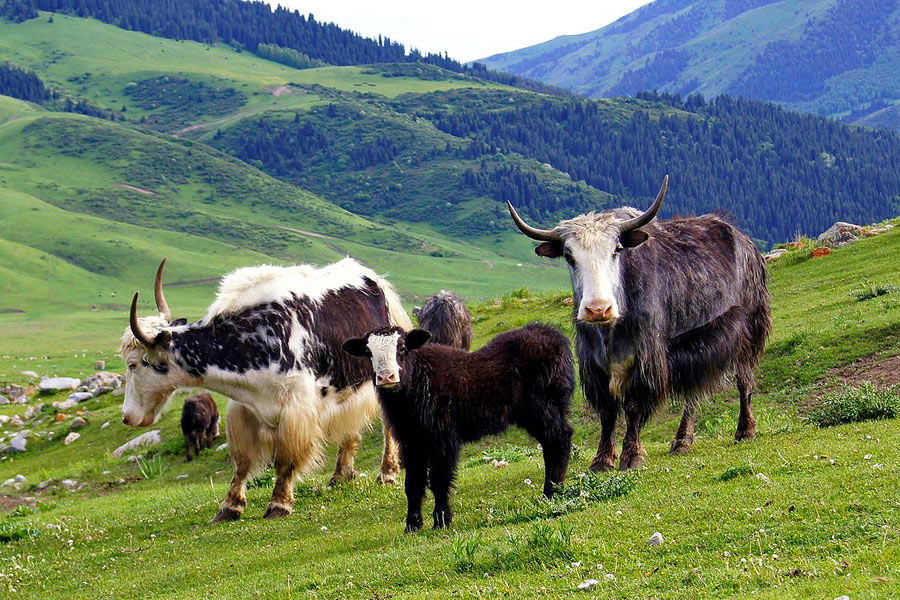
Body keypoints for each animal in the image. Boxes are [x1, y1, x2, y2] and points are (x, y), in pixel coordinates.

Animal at [342, 326, 572, 532]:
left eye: (403, 348)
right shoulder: (412, 440)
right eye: (368, 352)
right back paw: (551, 491)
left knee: (560, 439)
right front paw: (412, 526)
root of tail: (555, 336)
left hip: (543, 407)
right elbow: (413, 483)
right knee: (552, 443)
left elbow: (439, 480)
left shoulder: (442, 438)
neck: (418, 381)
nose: (386, 377)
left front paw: (441, 521)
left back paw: (552, 492)